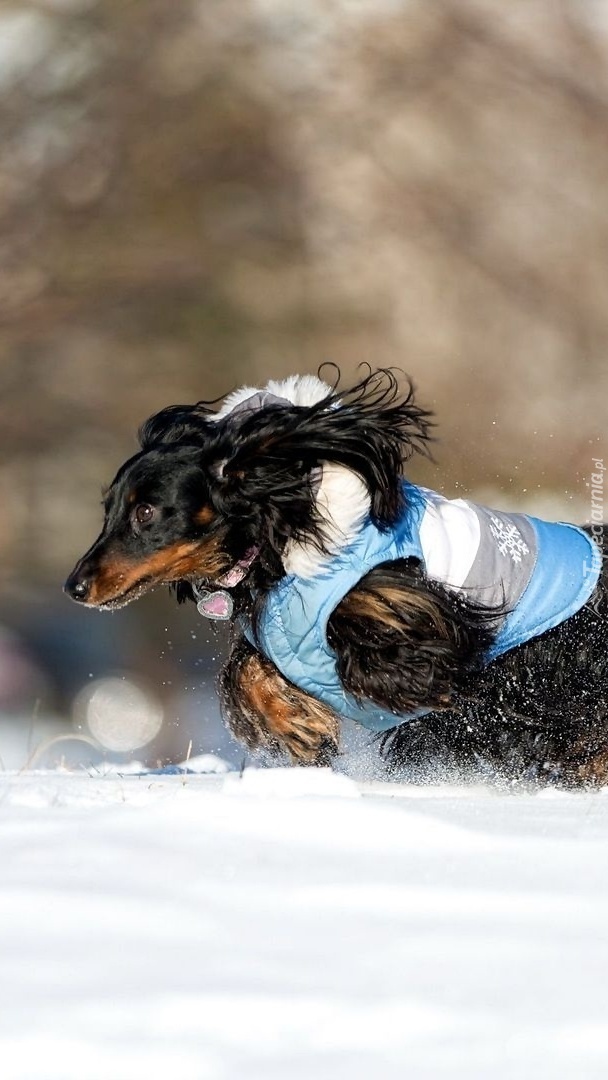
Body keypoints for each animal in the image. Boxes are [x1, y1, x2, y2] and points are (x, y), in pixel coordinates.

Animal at [64, 369, 608, 786]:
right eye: (109, 509)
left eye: (146, 512)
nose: (75, 587)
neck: (279, 541)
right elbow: (245, 669)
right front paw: (295, 723)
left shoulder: (411, 615)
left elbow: (403, 667)